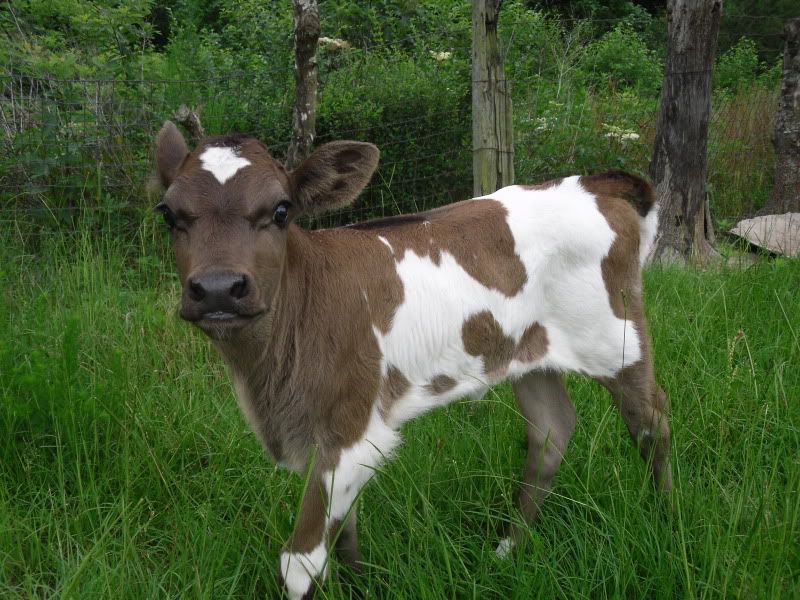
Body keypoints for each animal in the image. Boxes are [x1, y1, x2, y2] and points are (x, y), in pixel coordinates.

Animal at [153, 121, 672, 599]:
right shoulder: (336, 441)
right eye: (168, 214)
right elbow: (347, 533)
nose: (218, 288)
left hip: (617, 337)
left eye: (281, 210)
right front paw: (363, 588)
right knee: (551, 431)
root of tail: (591, 184)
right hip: (529, 354)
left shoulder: (352, 427)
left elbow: (301, 562)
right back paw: (508, 549)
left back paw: (664, 520)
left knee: (651, 420)